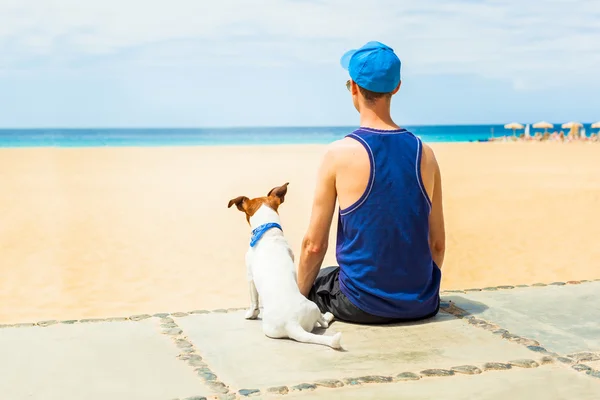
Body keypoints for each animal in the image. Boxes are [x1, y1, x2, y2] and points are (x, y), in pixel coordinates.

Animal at [227, 183, 342, 348]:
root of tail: (291, 323)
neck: (267, 233)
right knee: (322, 323)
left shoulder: (249, 277)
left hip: (312, 306)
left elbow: (253, 300)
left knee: (324, 322)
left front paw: (251, 314)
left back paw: (328, 314)